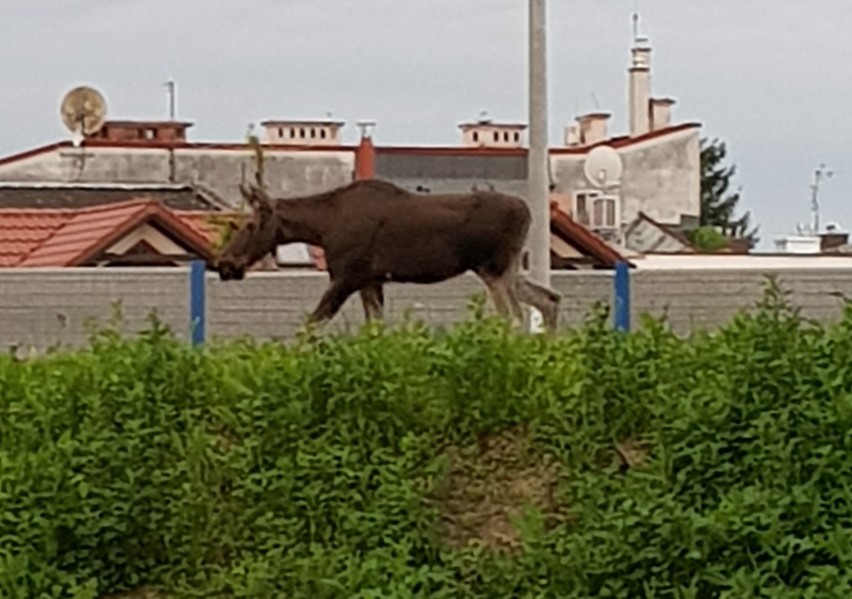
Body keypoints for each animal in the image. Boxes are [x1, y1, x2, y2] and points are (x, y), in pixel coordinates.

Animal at [213, 180, 564, 332]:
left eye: (249, 225)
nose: (225, 263)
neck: (322, 228)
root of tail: (529, 212)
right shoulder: (371, 280)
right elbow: (375, 330)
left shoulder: (346, 276)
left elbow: (310, 326)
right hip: (509, 268)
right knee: (549, 299)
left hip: (492, 267)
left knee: (513, 316)